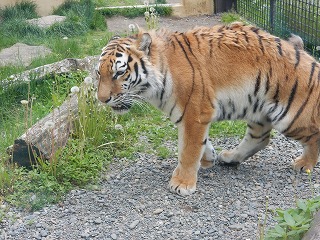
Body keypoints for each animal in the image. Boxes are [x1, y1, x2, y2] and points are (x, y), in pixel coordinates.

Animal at [96, 22, 320, 195]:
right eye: (99, 73)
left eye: (119, 73)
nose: (101, 99)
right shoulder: (192, 116)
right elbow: (199, 144)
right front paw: (209, 158)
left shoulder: (194, 113)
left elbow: (188, 150)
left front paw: (182, 184)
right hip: (258, 110)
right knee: (260, 138)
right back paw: (230, 157)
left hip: (291, 117)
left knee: (314, 135)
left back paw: (304, 164)